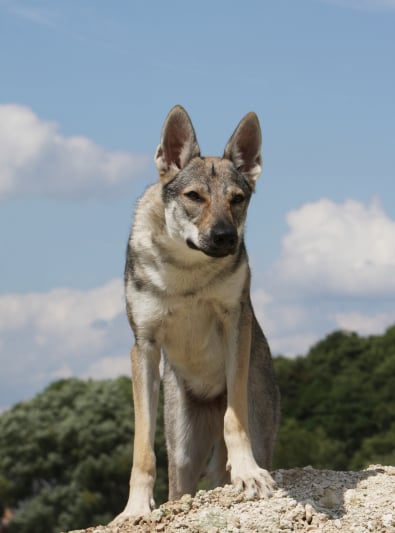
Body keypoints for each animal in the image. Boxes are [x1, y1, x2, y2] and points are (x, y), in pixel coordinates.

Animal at [116, 105, 280, 520]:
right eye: (194, 196)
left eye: (237, 199)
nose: (225, 237)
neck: (187, 271)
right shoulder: (144, 346)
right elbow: (142, 450)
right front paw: (135, 509)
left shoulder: (234, 323)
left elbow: (234, 420)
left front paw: (248, 474)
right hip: (184, 452)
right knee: (179, 488)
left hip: (259, 429)